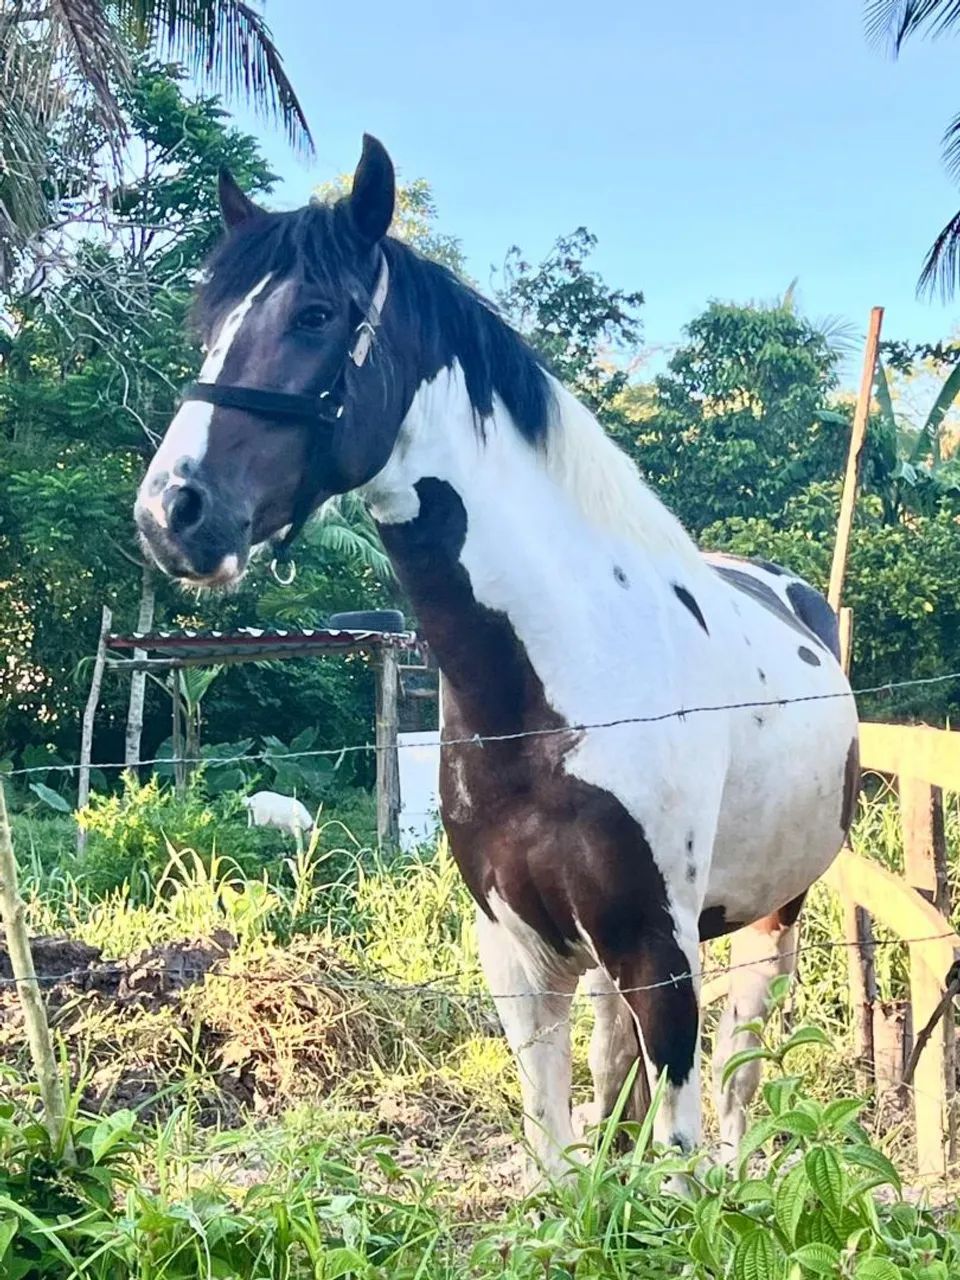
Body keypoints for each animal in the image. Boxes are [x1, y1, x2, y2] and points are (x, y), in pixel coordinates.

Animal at [134, 135, 860, 1185]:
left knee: (740, 1070)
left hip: (772, 917)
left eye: (315, 314)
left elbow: (679, 1140)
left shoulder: (662, 953)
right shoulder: (520, 956)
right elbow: (560, 1163)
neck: (557, 689)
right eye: (210, 324)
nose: (172, 513)